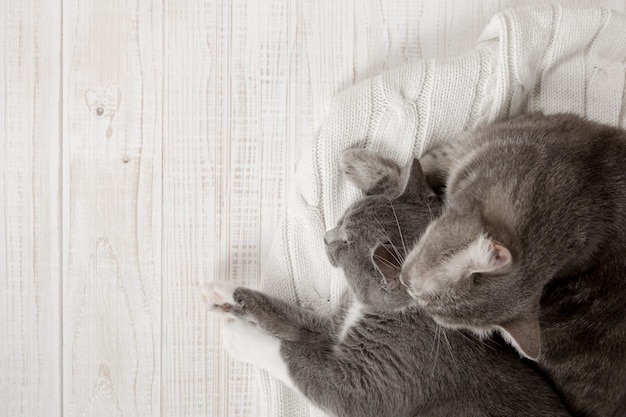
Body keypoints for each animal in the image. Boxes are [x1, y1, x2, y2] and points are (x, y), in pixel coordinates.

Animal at [200, 150, 572, 416]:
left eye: (345, 242)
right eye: (344, 218)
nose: (326, 236)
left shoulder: (373, 382)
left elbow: (294, 359)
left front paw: (240, 336)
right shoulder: (334, 328)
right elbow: (294, 319)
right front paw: (224, 293)